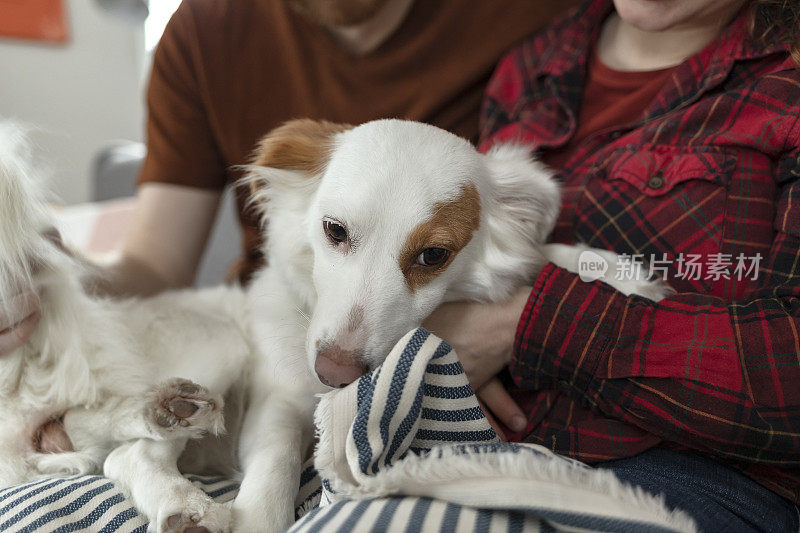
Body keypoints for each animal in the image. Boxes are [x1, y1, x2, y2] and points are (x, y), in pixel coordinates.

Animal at [0, 119, 668, 532]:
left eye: (434, 254)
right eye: (334, 230)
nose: (335, 373)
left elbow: (540, 259)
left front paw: (617, 273)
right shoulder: (276, 404)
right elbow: (271, 475)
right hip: (216, 346)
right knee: (125, 450)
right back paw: (178, 477)